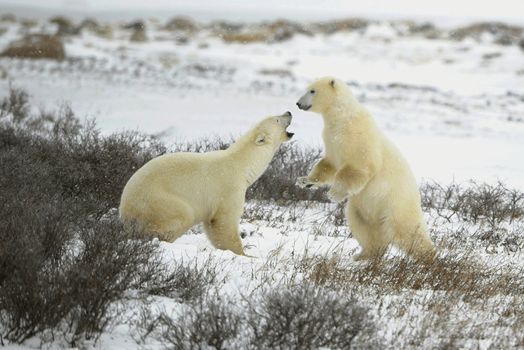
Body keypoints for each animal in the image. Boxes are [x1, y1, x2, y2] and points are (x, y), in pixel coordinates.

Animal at [120, 111, 296, 254]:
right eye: (276, 119)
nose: (289, 112)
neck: (243, 164)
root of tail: (124, 210)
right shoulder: (229, 189)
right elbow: (225, 223)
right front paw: (244, 254)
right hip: (156, 202)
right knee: (182, 215)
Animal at [296, 78, 436, 262]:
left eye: (312, 91)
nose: (298, 103)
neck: (341, 117)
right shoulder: (331, 139)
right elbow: (329, 164)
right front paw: (305, 181)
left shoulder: (355, 135)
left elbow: (360, 166)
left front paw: (334, 194)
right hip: (365, 209)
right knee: (364, 227)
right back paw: (364, 255)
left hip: (395, 204)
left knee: (406, 230)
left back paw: (429, 257)